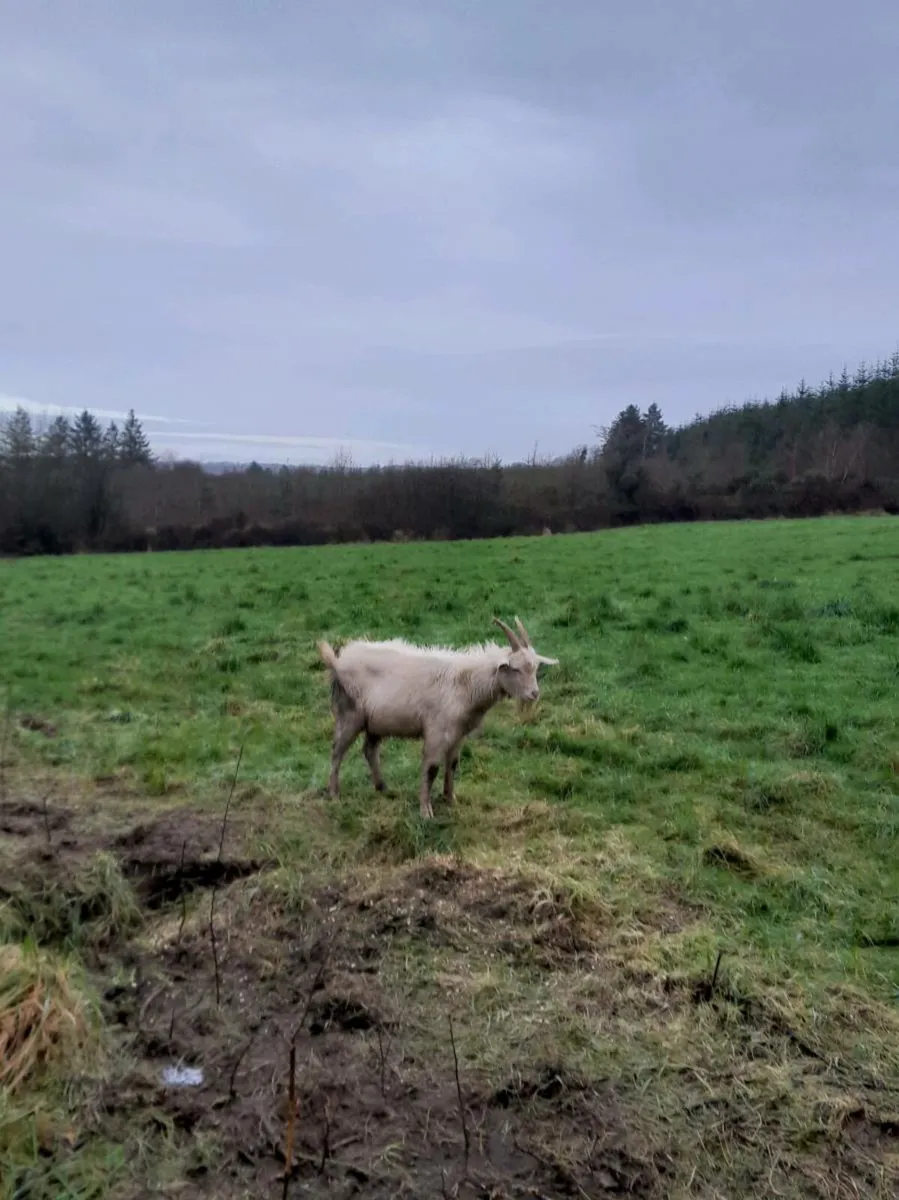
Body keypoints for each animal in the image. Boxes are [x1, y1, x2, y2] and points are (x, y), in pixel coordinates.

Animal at [317, 617, 559, 819]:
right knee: (337, 751)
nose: (534, 694)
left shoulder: (458, 733)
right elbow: (432, 768)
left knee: (369, 749)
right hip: (349, 713)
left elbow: (452, 764)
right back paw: (334, 794)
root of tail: (338, 661)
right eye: (515, 669)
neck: (465, 684)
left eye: (535, 667)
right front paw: (426, 811)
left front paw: (451, 799)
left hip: (376, 721)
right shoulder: (437, 731)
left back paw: (382, 788)